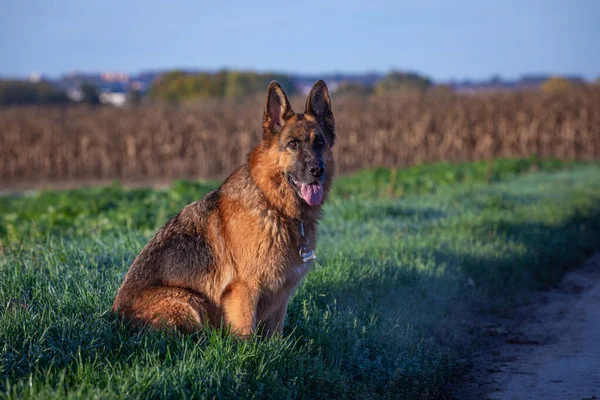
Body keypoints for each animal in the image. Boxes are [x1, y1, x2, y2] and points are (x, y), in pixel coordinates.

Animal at [112, 79, 336, 336]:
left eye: (320, 143)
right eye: (293, 144)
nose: (317, 171)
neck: (273, 206)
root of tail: (115, 318)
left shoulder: (280, 298)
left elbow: (275, 337)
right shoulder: (245, 291)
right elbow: (247, 337)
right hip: (188, 302)